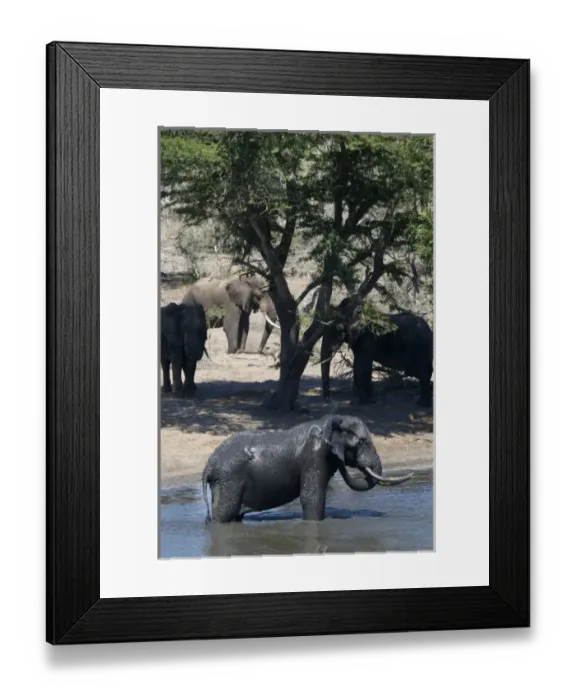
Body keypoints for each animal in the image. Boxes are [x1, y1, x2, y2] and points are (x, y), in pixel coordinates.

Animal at [201, 414, 414, 523]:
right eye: (362, 442)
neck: (333, 421)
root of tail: (208, 466)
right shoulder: (314, 455)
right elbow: (312, 497)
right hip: (229, 480)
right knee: (224, 515)